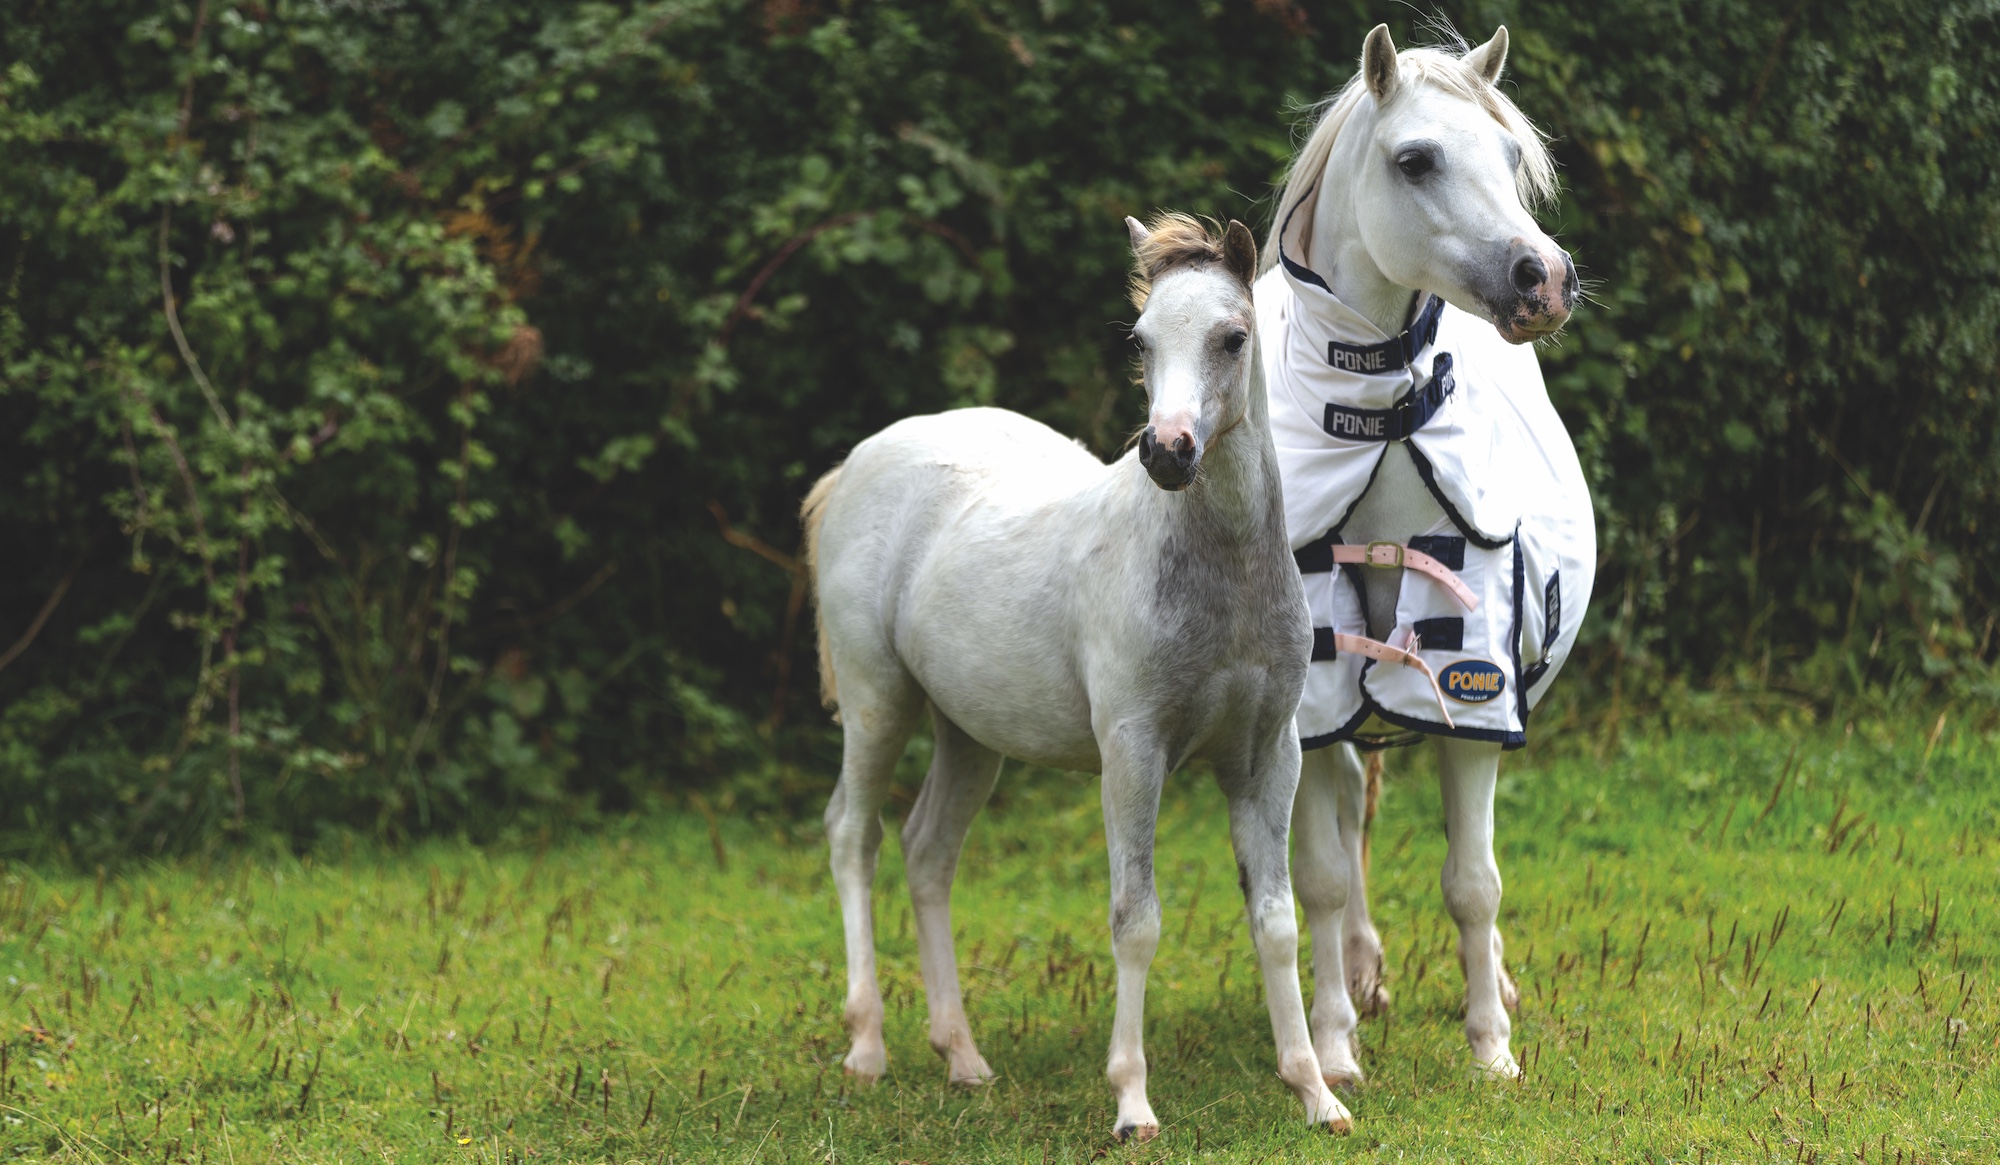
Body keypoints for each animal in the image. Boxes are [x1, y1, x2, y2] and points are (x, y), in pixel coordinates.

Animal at [801, 215, 1353, 1139]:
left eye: (1232, 337)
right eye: (1140, 339)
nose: (1167, 452)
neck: (1223, 578)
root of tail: (858, 463)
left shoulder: (1267, 756)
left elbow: (1276, 919)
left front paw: (1316, 1090)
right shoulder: (1133, 752)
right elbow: (1136, 920)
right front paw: (1132, 1102)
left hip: (968, 733)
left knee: (927, 852)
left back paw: (963, 1055)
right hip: (879, 703)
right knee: (853, 836)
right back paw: (867, 1045)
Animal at [1258, 24, 1596, 1086]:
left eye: (1512, 158)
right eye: (1416, 160)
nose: (1544, 278)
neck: (1376, 429)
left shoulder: (1470, 690)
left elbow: (1472, 880)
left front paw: (1491, 1046)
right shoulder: (1319, 698)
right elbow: (1324, 878)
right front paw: (1333, 1043)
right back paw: (1362, 976)